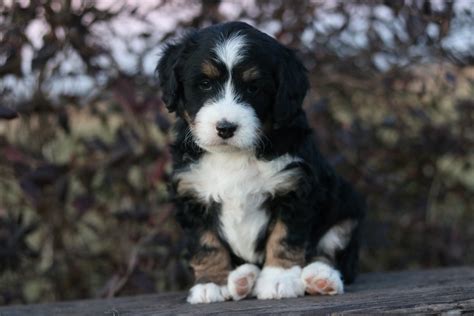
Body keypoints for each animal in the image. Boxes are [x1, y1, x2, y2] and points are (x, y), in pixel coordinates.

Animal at [157, 21, 364, 304]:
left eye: (253, 88)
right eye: (205, 84)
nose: (225, 128)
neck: (234, 155)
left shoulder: (294, 189)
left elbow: (284, 237)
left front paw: (279, 278)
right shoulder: (192, 194)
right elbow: (206, 243)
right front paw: (211, 283)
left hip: (347, 210)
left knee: (331, 252)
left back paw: (320, 278)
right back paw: (243, 280)